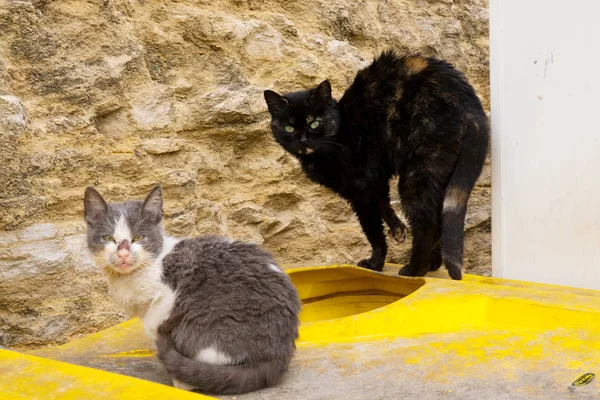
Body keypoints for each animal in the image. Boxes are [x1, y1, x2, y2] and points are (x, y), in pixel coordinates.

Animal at [84, 186, 300, 396]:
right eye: (108, 238)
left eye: (138, 237)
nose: (122, 254)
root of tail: (277, 356)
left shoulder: (167, 294)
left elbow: (154, 323)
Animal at [264, 50, 490, 282]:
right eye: (288, 127)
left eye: (314, 122)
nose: (302, 140)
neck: (339, 133)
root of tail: (472, 108)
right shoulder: (375, 179)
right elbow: (383, 204)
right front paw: (398, 228)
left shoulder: (360, 191)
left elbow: (372, 230)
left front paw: (375, 263)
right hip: (440, 174)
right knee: (438, 217)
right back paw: (432, 264)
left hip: (418, 172)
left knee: (427, 222)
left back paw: (415, 269)